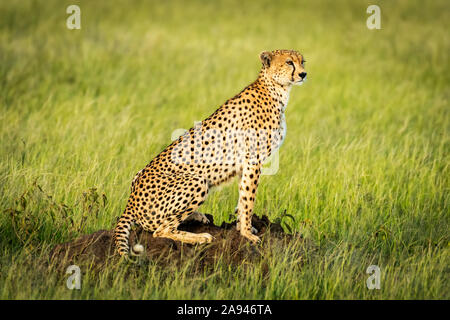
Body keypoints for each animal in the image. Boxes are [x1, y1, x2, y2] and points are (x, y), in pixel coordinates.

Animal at [114, 50, 308, 260]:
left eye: (302, 62)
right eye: (289, 62)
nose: (303, 74)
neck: (276, 89)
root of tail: (131, 202)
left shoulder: (245, 165)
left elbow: (242, 198)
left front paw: (242, 227)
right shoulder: (253, 161)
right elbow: (249, 199)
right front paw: (247, 233)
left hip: (141, 176)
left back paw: (197, 216)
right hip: (197, 181)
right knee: (160, 230)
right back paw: (200, 237)